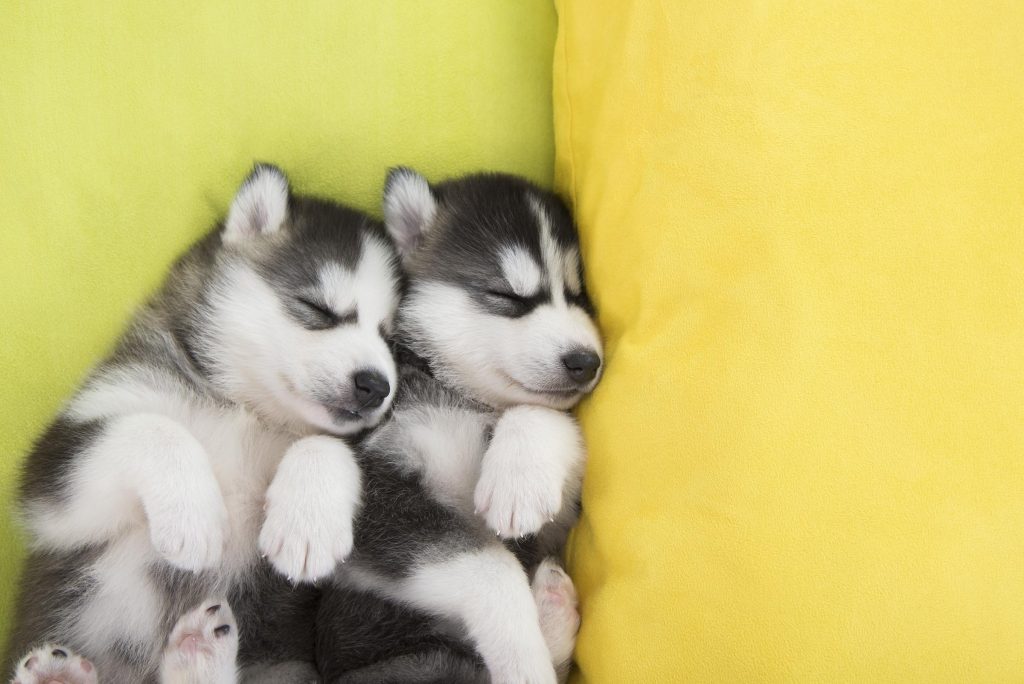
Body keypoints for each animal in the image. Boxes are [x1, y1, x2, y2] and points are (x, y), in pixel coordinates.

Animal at [7, 166, 399, 684]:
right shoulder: (55, 491)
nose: (376, 385)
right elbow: (154, 429)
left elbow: (325, 446)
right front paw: (195, 517)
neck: (245, 409)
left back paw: (196, 652)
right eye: (318, 309)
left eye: (392, 339)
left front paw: (308, 523)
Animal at [311, 167, 598, 679]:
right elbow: (491, 566)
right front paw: (522, 656)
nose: (588, 361)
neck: (466, 401)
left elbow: (543, 416)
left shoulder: (559, 518)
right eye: (506, 295)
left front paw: (517, 480)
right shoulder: (380, 498)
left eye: (579, 296)